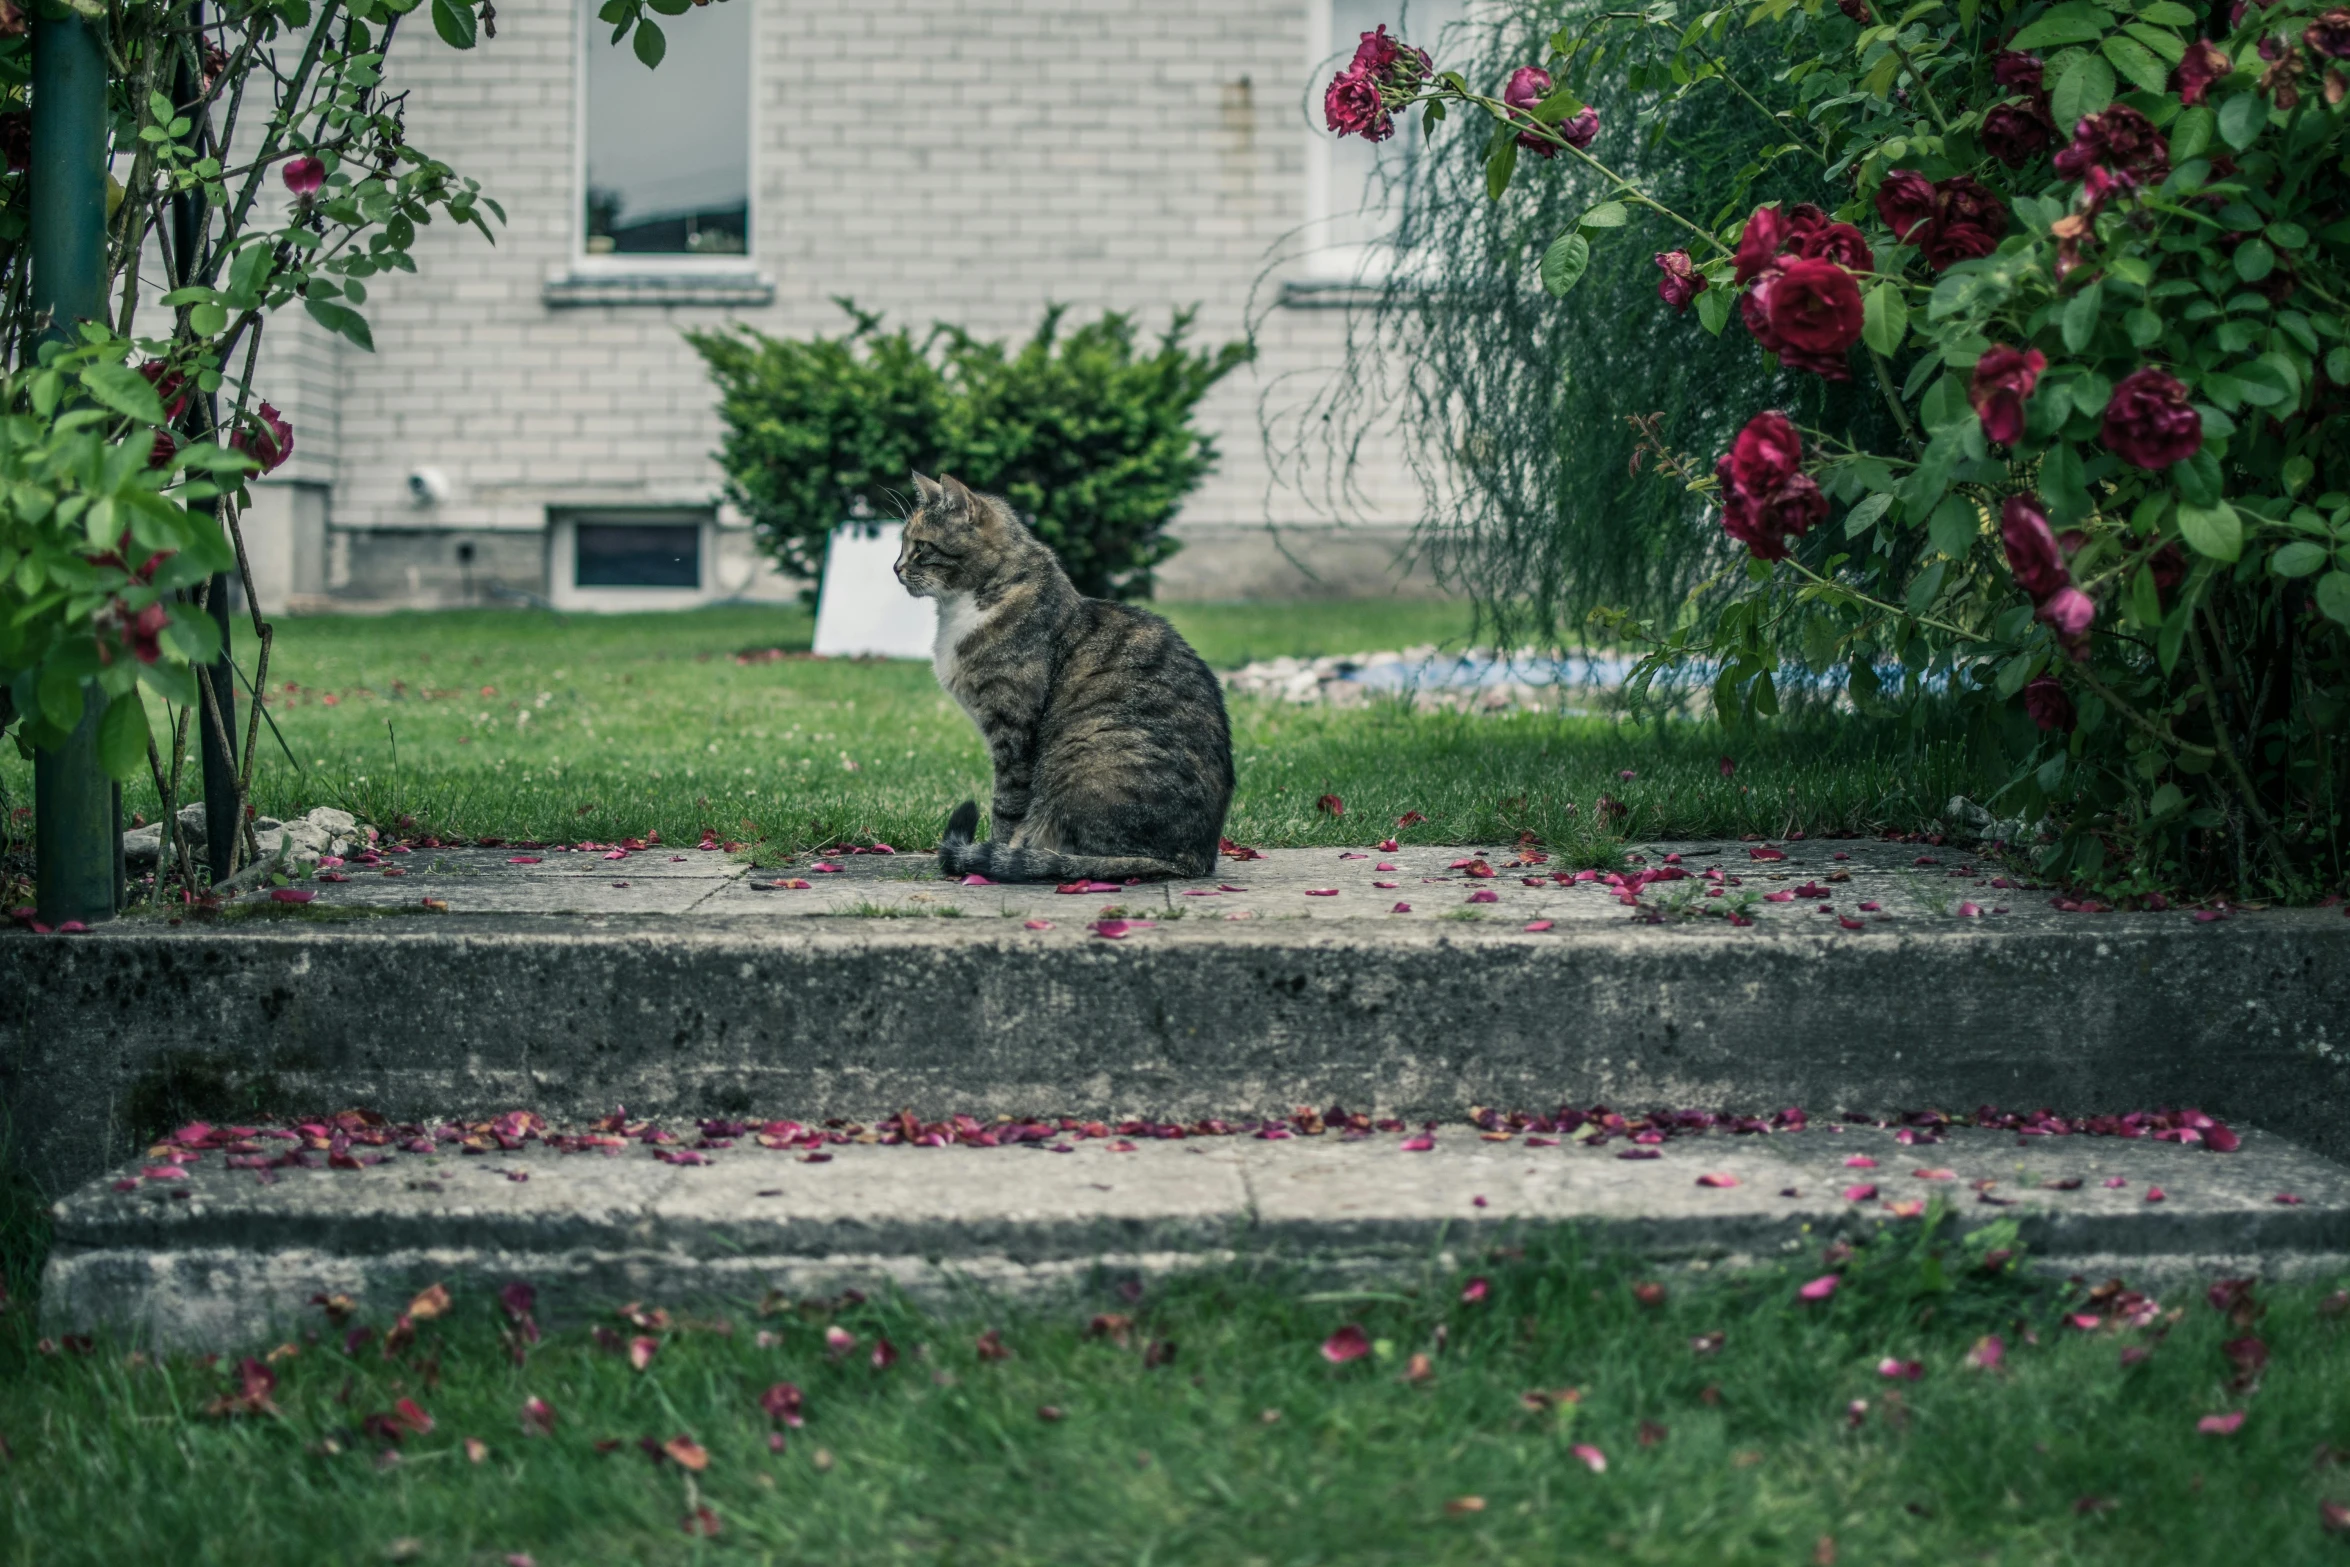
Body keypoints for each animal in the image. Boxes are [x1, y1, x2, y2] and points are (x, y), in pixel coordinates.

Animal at [892, 472, 1240, 883]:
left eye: (921, 547)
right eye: (902, 545)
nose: (895, 568)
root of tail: (1195, 859)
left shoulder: (1014, 730)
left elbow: (1007, 806)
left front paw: (997, 851)